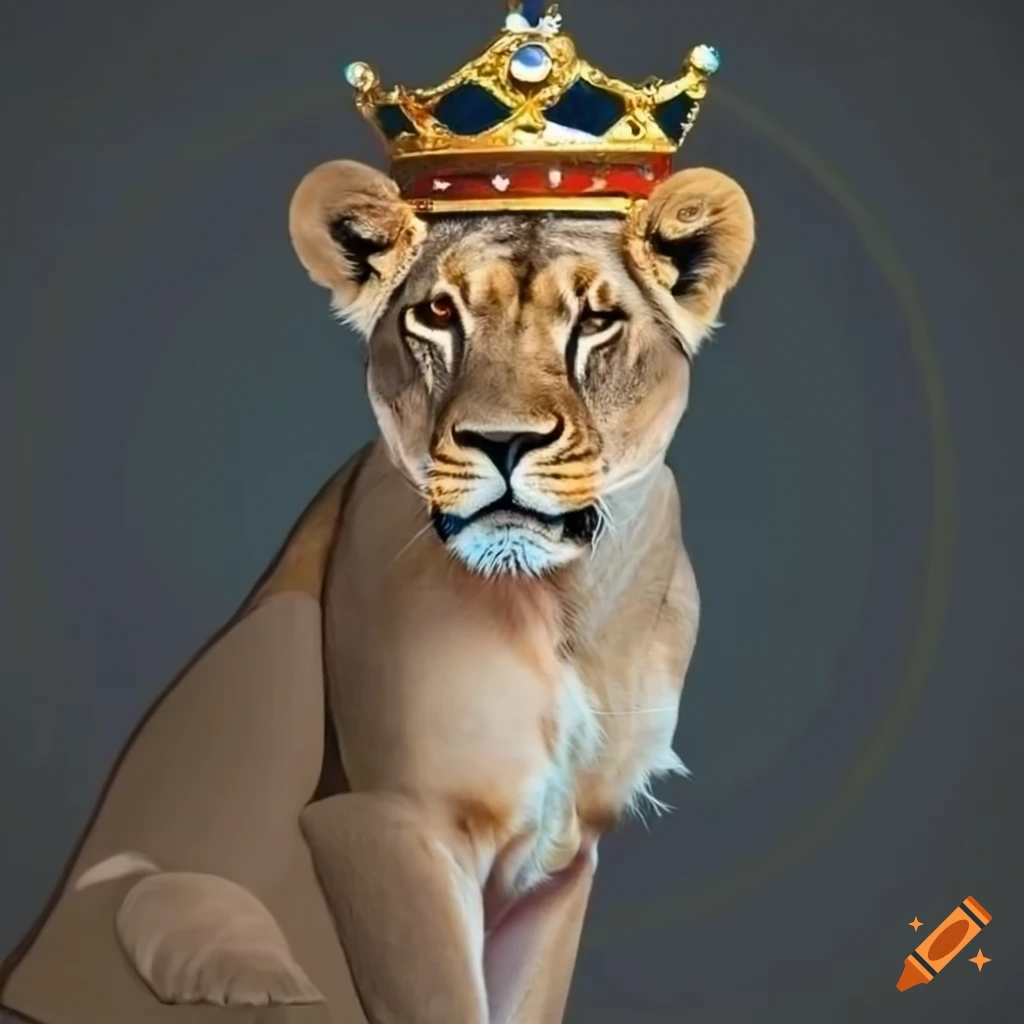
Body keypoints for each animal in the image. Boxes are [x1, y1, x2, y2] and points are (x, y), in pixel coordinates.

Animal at [1, 159, 753, 1024]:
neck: (560, 607)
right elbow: (440, 997)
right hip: (176, 864)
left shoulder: (561, 860)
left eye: (597, 320)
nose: (502, 441)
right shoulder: (385, 820)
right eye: (438, 313)